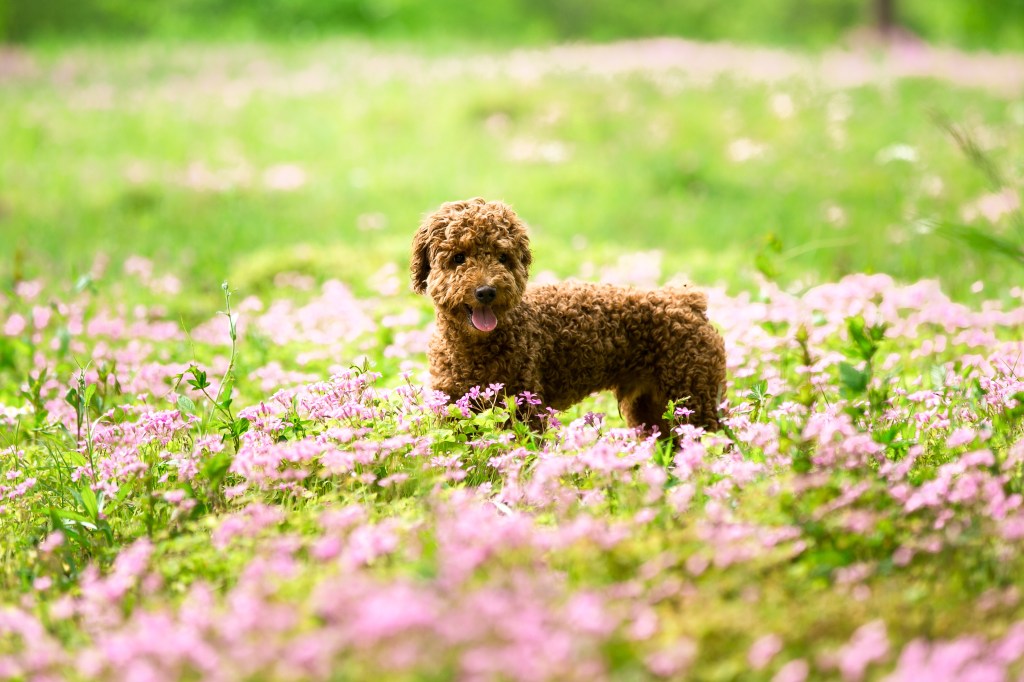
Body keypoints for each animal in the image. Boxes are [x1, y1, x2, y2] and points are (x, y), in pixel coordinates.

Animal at [409, 196, 729, 430]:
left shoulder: (523, 409)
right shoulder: (453, 404)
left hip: (692, 400)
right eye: (458, 258)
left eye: (502, 257)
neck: (476, 346)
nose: (486, 292)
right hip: (655, 407)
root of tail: (687, 301)